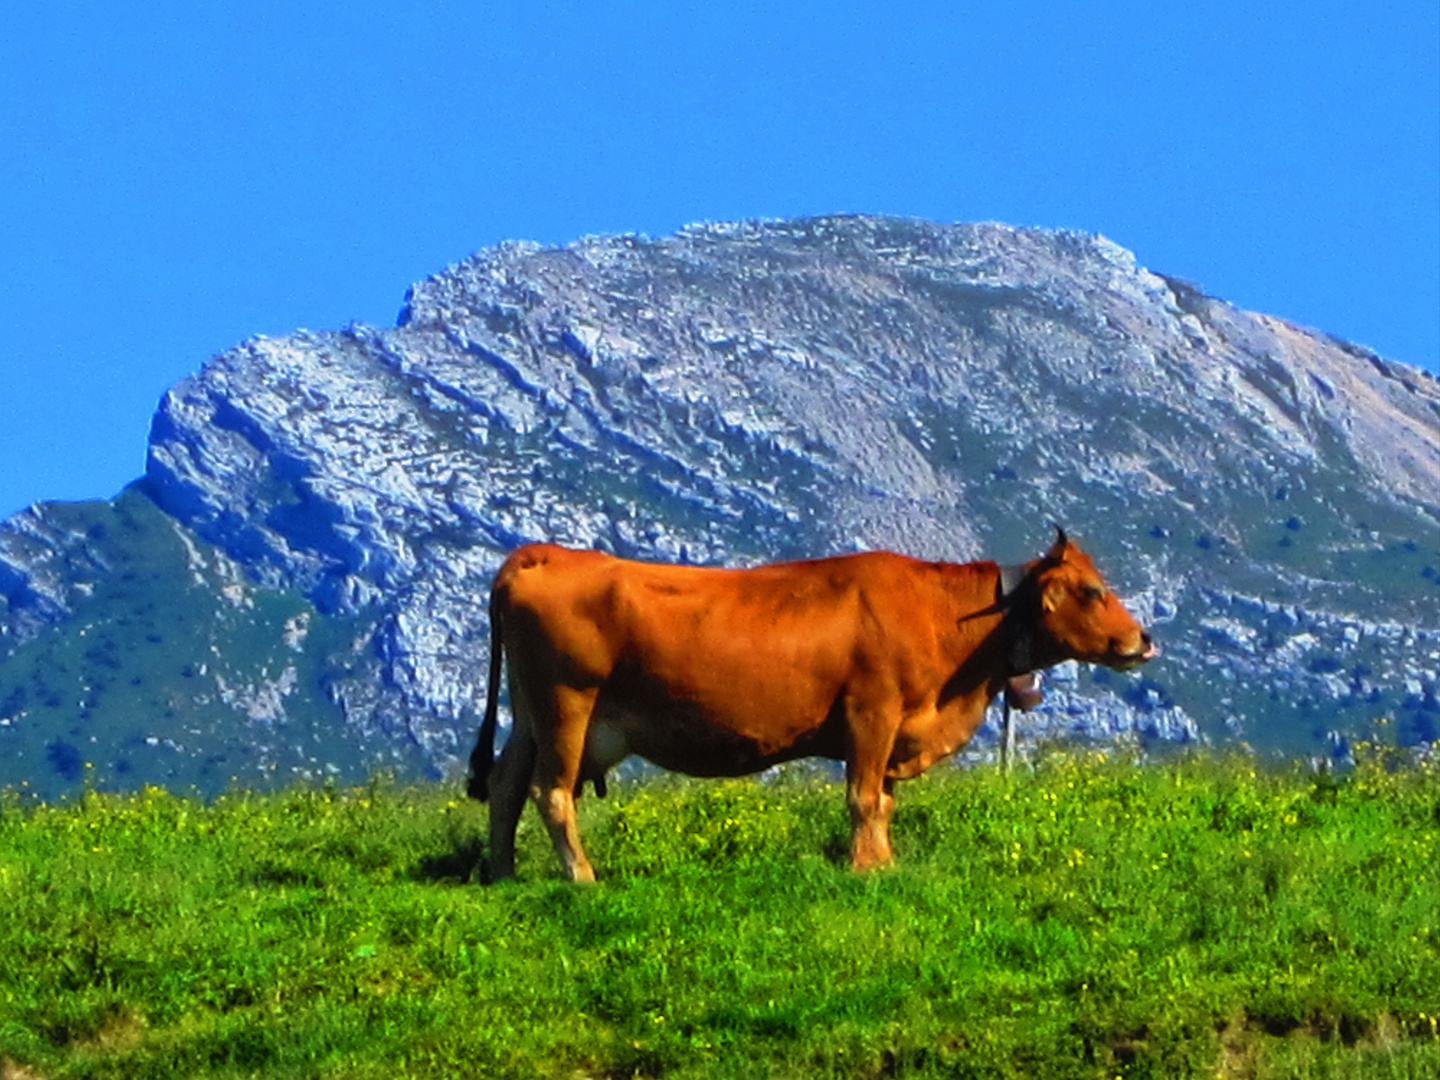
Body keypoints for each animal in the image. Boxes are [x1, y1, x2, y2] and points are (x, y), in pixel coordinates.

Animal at [466, 529, 1152, 881]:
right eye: (1093, 591)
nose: (1143, 639)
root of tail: (547, 553)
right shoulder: (871, 713)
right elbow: (863, 798)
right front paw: (864, 868)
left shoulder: (892, 730)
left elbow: (883, 803)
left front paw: (883, 861)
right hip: (568, 705)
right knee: (550, 792)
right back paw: (580, 876)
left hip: (530, 713)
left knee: (505, 783)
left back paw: (501, 872)